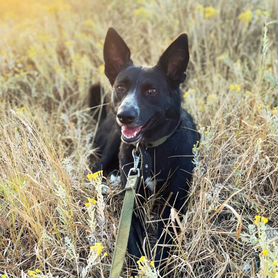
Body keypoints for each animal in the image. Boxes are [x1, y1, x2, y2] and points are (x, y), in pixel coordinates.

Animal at [91, 27, 200, 270]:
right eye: (121, 87)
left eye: (151, 91)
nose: (125, 115)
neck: (149, 150)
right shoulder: (132, 205)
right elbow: (132, 243)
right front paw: (140, 267)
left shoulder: (175, 205)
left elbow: (164, 241)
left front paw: (155, 267)